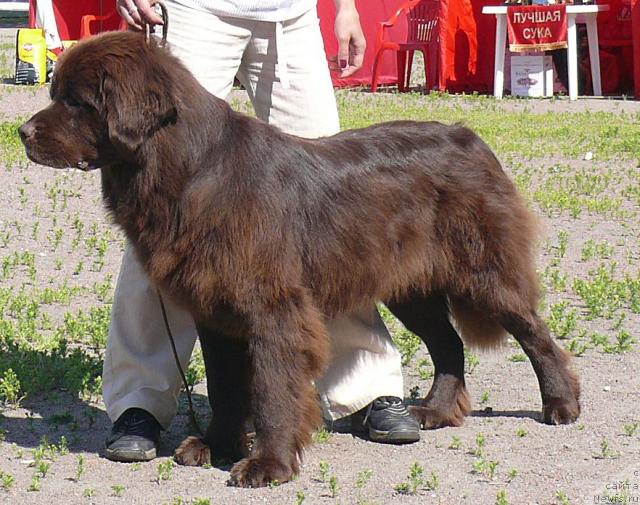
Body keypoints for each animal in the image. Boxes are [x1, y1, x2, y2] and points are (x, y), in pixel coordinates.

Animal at [18, 30, 580, 484]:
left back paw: (561, 404)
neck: (189, 170)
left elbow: (270, 388)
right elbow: (225, 386)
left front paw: (269, 465)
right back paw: (436, 412)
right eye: (55, 93)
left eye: (76, 101)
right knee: (449, 343)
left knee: (533, 331)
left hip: (482, 272)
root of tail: (470, 137)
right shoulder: (214, 311)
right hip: (410, 285)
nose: (23, 132)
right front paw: (217, 446)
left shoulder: (273, 309)